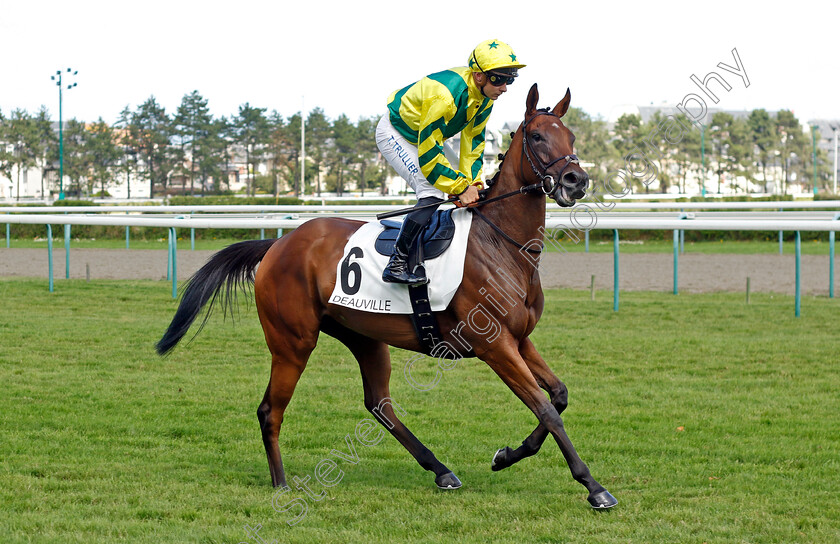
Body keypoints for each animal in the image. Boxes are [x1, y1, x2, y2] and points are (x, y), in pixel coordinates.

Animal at [158, 85, 616, 510]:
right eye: (537, 136)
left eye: (571, 136)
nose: (576, 180)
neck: (502, 244)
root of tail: (279, 244)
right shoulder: (495, 345)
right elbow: (544, 408)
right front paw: (593, 487)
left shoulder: (520, 339)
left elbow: (558, 396)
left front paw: (506, 455)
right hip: (292, 343)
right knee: (272, 409)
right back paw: (282, 484)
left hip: (363, 336)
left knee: (379, 404)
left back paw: (441, 470)